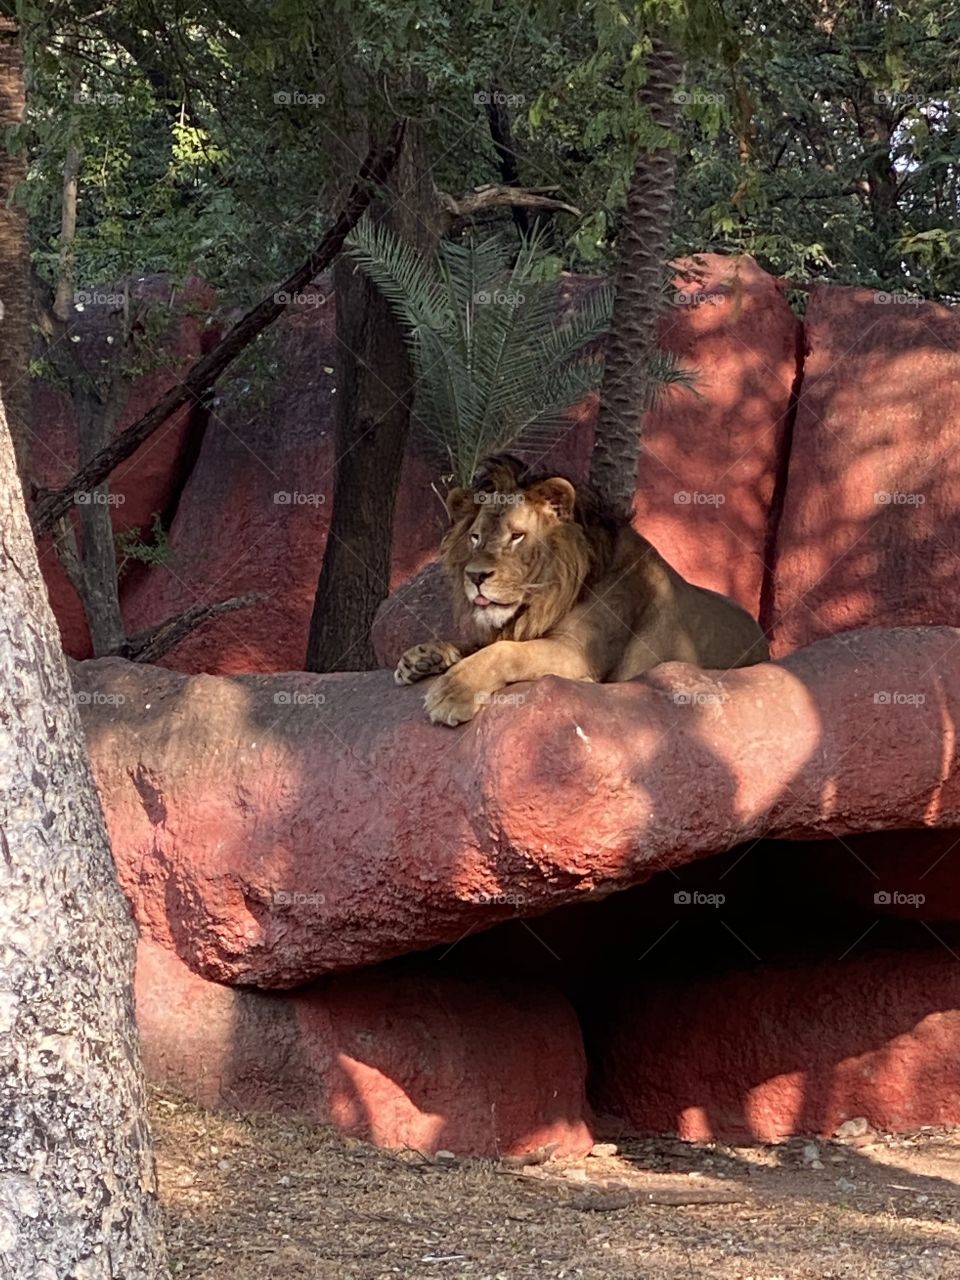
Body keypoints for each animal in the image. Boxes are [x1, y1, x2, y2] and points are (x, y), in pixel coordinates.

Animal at [396, 455, 769, 726]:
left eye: (516, 536)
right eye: (475, 537)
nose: (474, 576)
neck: (549, 597)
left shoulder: (577, 654)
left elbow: (505, 652)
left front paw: (452, 692)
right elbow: (481, 645)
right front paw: (424, 656)